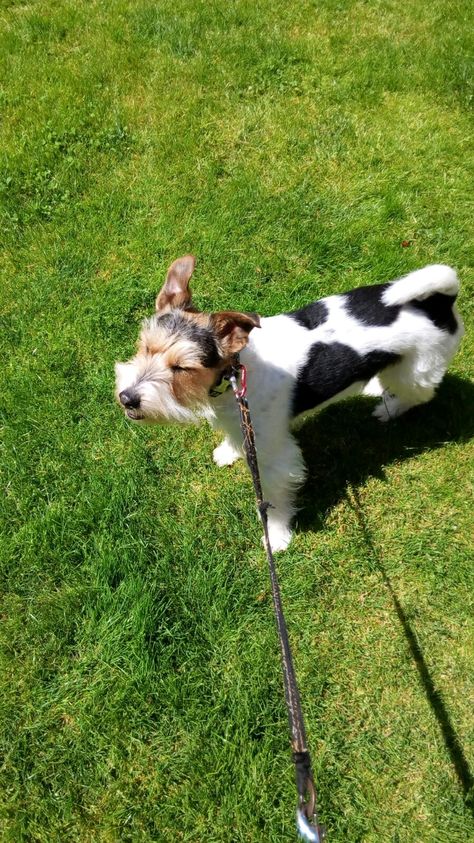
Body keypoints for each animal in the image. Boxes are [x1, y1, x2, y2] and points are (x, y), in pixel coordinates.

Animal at [115, 258, 462, 552]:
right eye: (144, 346)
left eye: (182, 368)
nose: (127, 398)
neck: (235, 372)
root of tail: (438, 302)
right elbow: (233, 439)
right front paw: (228, 452)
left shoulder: (274, 457)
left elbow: (273, 500)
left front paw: (277, 536)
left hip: (417, 372)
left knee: (417, 394)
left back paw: (387, 408)